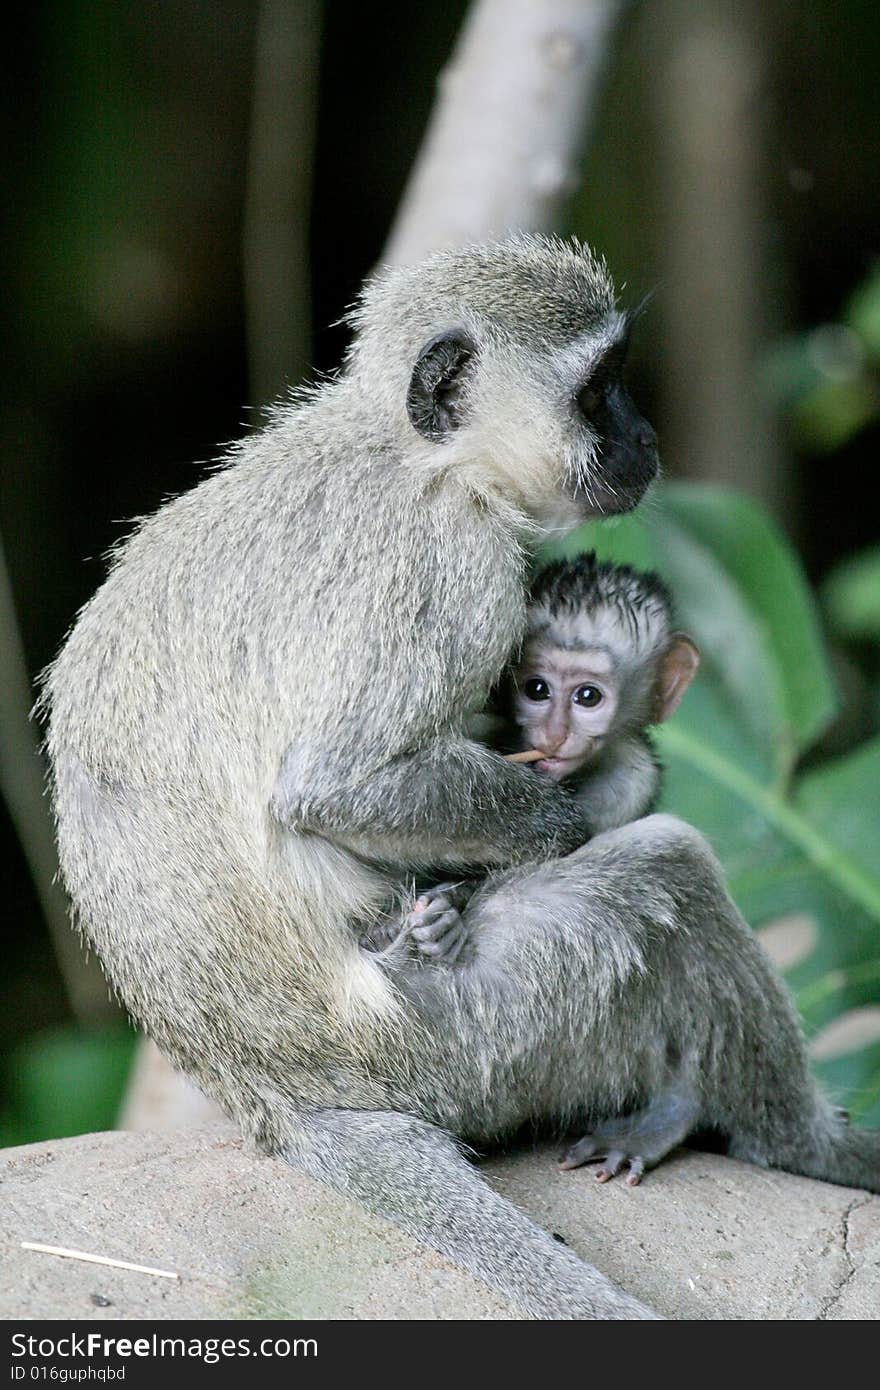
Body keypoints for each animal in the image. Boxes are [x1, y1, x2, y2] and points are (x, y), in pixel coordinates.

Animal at [42, 233, 878, 1317]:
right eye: (598, 389)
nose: (645, 436)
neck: (413, 455)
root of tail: (279, 1099)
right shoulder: (457, 571)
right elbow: (337, 786)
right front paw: (575, 815)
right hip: (474, 1039)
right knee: (672, 870)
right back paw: (798, 1141)